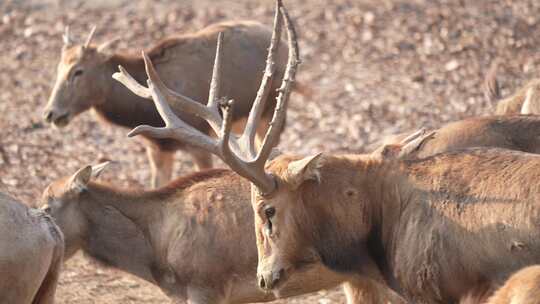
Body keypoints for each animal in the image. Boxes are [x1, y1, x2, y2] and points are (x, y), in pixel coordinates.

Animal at [42, 16, 294, 189]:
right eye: (58, 68)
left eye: (78, 71)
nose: (50, 113)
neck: (144, 113)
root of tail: (283, 44)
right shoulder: (157, 148)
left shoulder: (199, 141)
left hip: (269, 112)